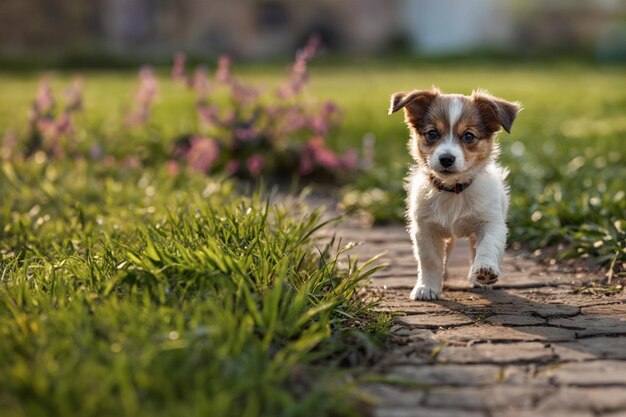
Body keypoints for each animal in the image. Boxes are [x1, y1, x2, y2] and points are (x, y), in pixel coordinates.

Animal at [388, 87, 520, 300]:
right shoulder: (425, 229)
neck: (454, 190)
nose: (446, 159)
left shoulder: (491, 222)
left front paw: (485, 270)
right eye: (432, 133)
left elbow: (487, 246)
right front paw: (427, 287)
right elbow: (430, 261)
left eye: (469, 136)